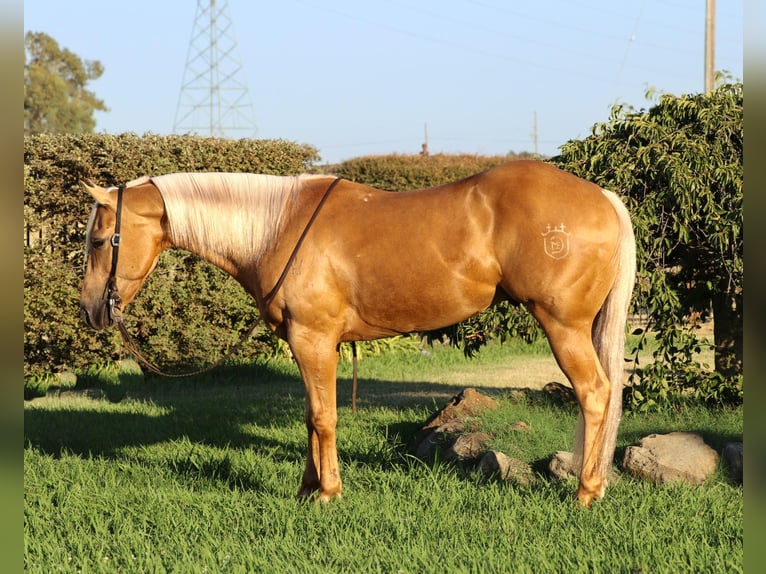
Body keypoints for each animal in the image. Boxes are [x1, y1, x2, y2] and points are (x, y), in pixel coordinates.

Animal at [81, 160, 640, 506]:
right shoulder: (306, 345)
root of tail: (604, 197)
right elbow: (311, 416)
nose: (90, 310)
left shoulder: (314, 341)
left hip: (563, 326)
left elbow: (323, 417)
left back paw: (586, 492)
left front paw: (327, 492)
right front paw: (307, 489)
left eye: (99, 239)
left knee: (595, 394)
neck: (277, 229)